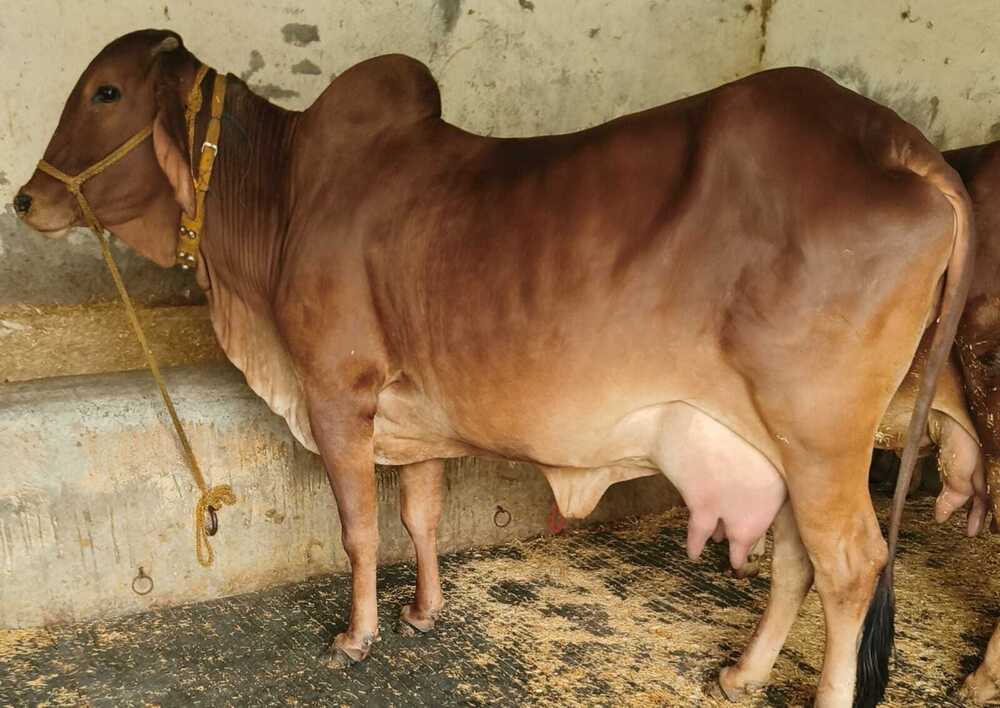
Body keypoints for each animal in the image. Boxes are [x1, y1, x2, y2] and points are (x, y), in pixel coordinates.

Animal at [13, 30, 979, 707]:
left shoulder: (336, 394)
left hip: (820, 441)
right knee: (795, 563)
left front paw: (356, 636)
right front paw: (422, 612)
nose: (25, 198)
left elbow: (360, 527)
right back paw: (741, 676)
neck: (283, 199)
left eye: (106, 90)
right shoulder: (414, 418)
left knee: (852, 567)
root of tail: (899, 144)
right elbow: (422, 515)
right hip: (782, 450)